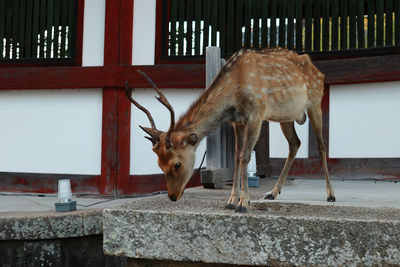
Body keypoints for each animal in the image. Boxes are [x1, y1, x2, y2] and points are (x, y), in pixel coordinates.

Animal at [125, 47, 334, 213]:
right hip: (286, 116)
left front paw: (244, 203)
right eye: (159, 164)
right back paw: (273, 193)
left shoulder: (257, 113)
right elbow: (236, 157)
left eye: (177, 164)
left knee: (321, 146)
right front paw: (231, 201)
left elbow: (245, 156)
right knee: (295, 144)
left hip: (315, 102)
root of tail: (319, 72)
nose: (172, 196)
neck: (235, 90)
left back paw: (330, 194)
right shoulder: (238, 121)